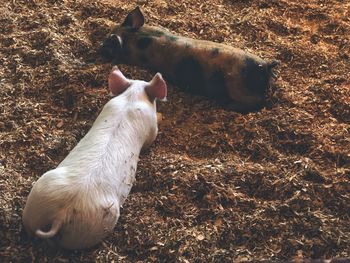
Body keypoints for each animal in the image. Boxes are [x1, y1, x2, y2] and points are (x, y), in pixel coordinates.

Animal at [98, 7, 276, 112]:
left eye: (107, 43)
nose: (99, 48)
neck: (136, 40)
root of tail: (266, 66)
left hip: (239, 88)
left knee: (258, 101)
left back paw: (228, 106)